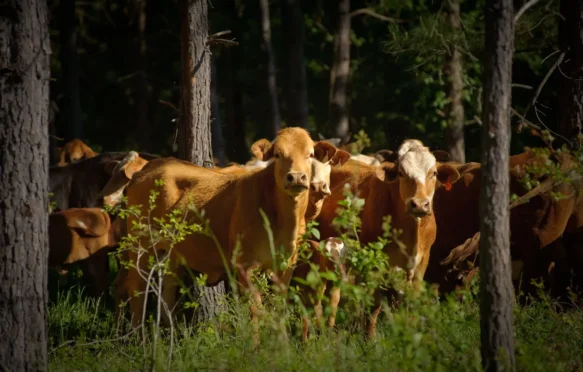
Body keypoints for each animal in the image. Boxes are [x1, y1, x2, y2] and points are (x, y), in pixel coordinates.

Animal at [318, 140, 464, 338]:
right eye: (401, 173)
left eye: (433, 173)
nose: (419, 204)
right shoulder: (374, 261)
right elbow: (375, 304)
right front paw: (370, 338)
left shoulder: (422, 261)